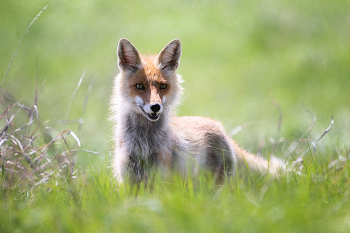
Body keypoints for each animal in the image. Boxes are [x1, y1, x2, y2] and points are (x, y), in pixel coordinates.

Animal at [112, 38, 284, 184]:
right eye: (139, 86)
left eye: (163, 86)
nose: (155, 106)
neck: (143, 144)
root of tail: (223, 131)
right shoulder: (129, 181)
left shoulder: (161, 179)